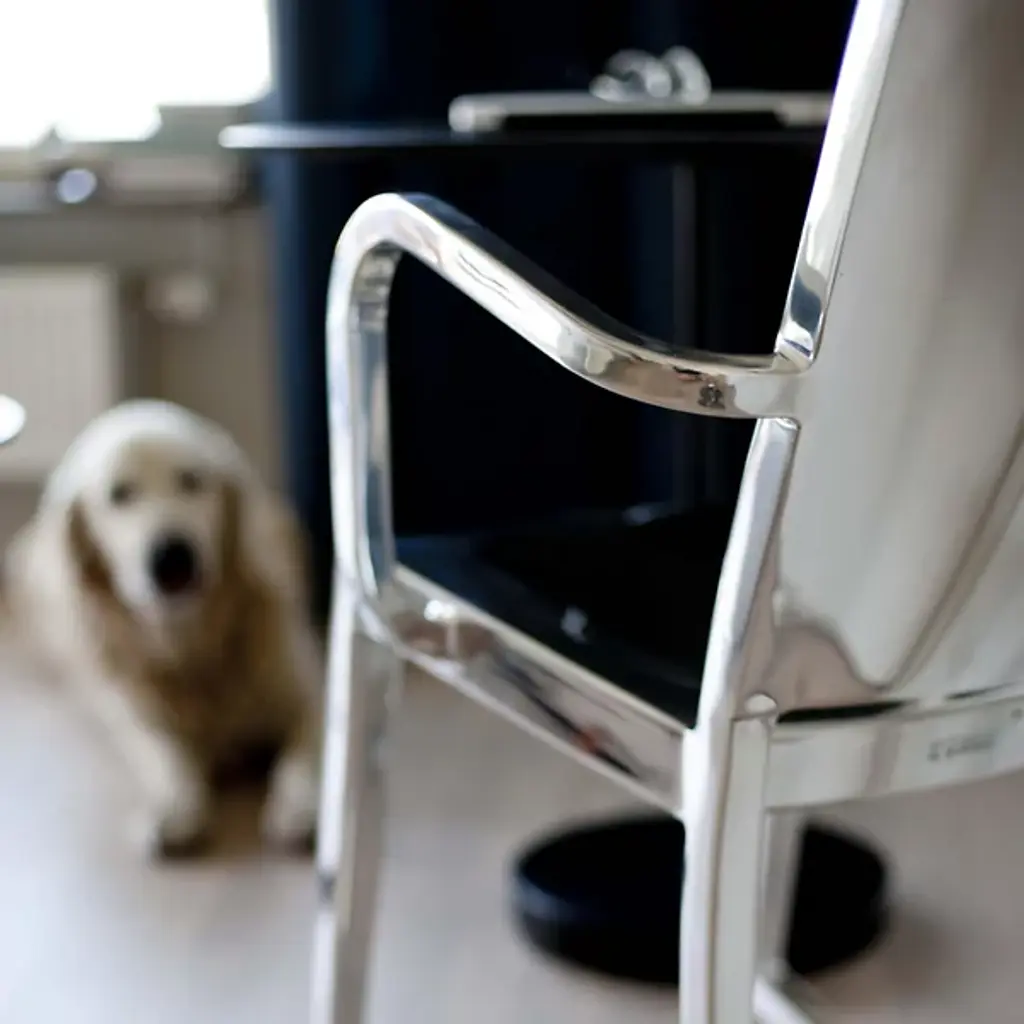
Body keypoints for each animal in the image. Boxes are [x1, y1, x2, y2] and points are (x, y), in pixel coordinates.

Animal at [2, 400, 323, 858]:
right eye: (120, 494)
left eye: (192, 481)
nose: (172, 555)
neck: (189, 645)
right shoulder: (138, 715)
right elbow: (168, 757)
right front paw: (174, 810)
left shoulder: (308, 694)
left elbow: (305, 756)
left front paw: (302, 809)